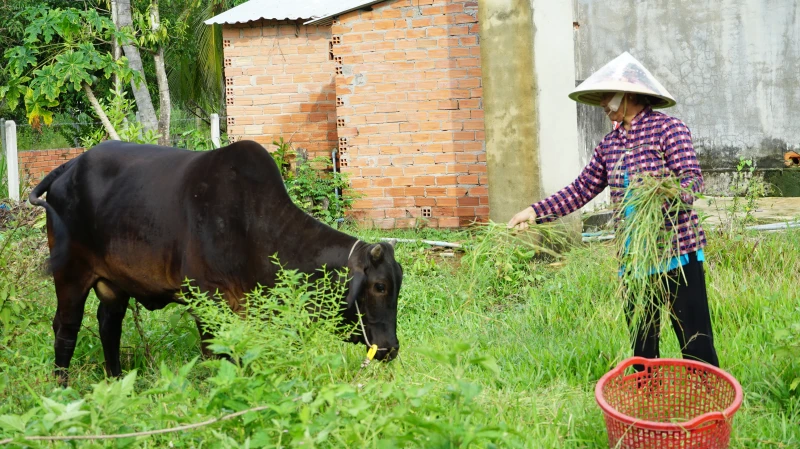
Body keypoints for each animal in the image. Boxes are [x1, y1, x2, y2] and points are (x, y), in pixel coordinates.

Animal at [28, 140, 404, 384]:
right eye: (379, 286)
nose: (390, 348)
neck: (253, 226)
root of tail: (71, 166)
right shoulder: (206, 298)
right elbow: (215, 353)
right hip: (70, 273)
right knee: (66, 328)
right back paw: (62, 390)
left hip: (114, 284)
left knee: (109, 324)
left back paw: (118, 381)